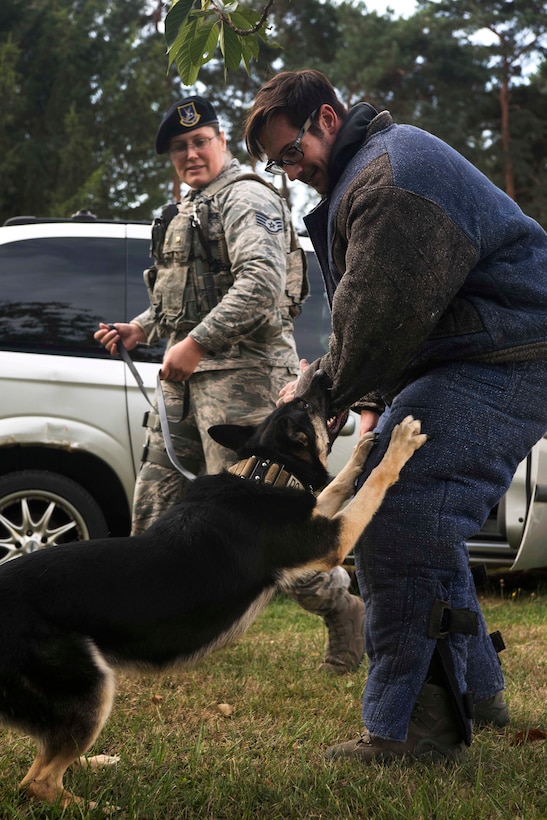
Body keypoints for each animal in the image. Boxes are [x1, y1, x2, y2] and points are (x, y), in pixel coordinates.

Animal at [0, 372, 426, 808]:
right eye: (307, 405)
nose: (322, 376)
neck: (263, 469)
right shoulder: (330, 543)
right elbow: (370, 488)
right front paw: (399, 444)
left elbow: (339, 485)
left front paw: (364, 449)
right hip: (90, 685)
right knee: (37, 782)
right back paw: (97, 806)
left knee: (50, 752)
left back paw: (93, 761)